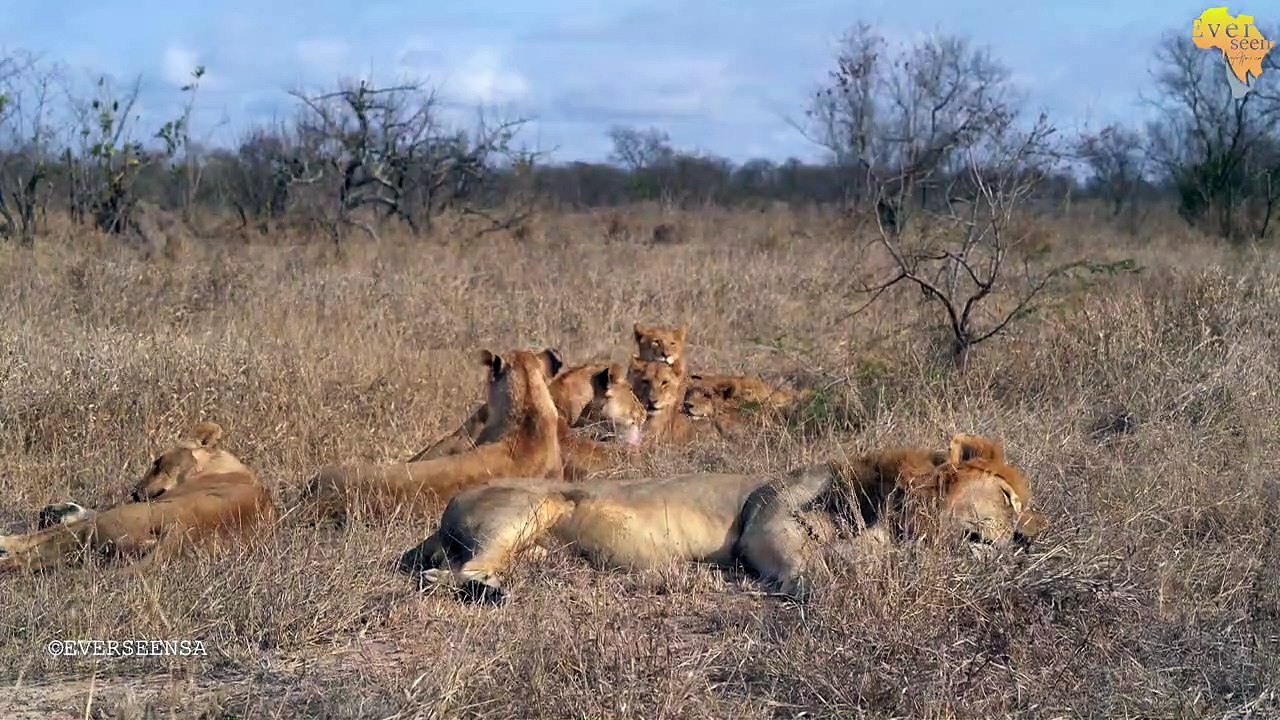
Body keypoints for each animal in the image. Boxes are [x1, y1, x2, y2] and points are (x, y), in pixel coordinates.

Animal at [399, 433, 1048, 603]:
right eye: (1008, 498)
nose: (1026, 541)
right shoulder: (766, 521)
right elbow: (812, 568)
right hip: (535, 506)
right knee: (443, 576)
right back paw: (490, 592)